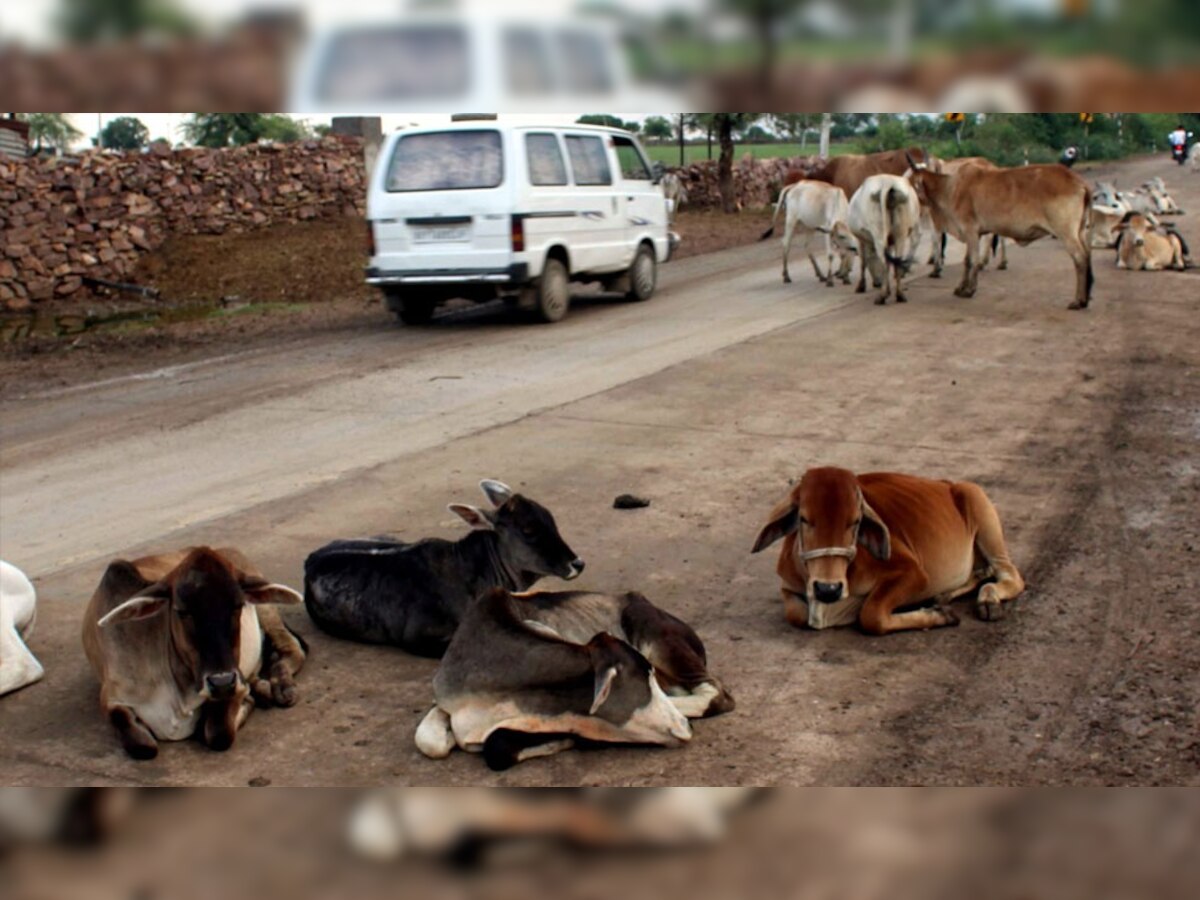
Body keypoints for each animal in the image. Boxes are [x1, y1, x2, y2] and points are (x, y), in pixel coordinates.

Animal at [82, 549, 307, 763]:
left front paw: (246, 702)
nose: (222, 682)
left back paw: (283, 687)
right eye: (182, 612)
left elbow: (218, 734)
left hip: (267, 611)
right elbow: (142, 746)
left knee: (292, 648)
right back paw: (262, 688)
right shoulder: (111, 699)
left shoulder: (234, 686)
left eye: (238, 605)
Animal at [748, 468, 1022, 638]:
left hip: (978, 502)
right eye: (804, 519)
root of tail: (947, 485)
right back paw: (943, 596)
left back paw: (988, 599)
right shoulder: (787, 584)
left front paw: (940, 616)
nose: (828, 589)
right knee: (982, 572)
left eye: (855, 522)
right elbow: (796, 614)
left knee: (1011, 576)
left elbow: (871, 616)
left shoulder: (913, 573)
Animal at [849, 172, 921, 307]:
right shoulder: (890, 241)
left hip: (879, 234)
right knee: (896, 262)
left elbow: (863, 261)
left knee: (883, 260)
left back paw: (881, 296)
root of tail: (887, 182)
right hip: (900, 235)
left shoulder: (860, 239)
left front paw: (861, 286)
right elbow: (888, 263)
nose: (876, 282)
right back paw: (899, 294)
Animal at [907, 156, 1099, 309]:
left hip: (1066, 233)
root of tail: (1078, 181)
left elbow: (972, 261)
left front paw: (969, 289)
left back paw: (1078, 301)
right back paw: (1085, 297)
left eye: (911, 183)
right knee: (1087, 255)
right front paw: (960, 288)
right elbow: (966, 261)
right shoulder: (973, 234)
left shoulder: (970, 230)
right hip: (1080, 231)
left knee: (1080, 258)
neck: (949, 188)